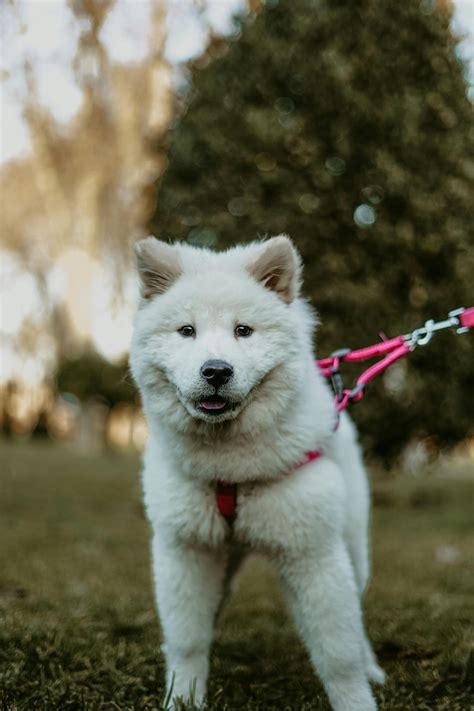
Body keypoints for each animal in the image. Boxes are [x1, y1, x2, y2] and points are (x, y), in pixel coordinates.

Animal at [130, 236, 386, 708]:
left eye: (243, 331)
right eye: (186, 331)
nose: (216, 370)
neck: (229, 466)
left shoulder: (312, 553)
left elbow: (339, 654)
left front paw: (356, 701)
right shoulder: (187, 550)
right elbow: (187, 640)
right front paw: (183, 698)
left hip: (353, 547)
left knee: (358, 626)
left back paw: (374, 669)